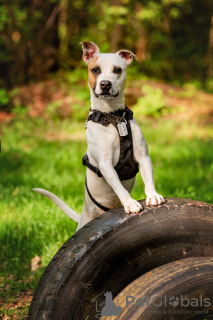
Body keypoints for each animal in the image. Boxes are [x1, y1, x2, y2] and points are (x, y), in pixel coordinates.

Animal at [34, 42, 165, 230]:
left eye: (117, 69)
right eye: (95, 70)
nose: (105, 84)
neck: (113, 118)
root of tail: (83, 215)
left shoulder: (143, 156)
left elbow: (148, 178)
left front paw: (152, 195)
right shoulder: (105, 164)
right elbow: (118, 184)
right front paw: (129, 202)